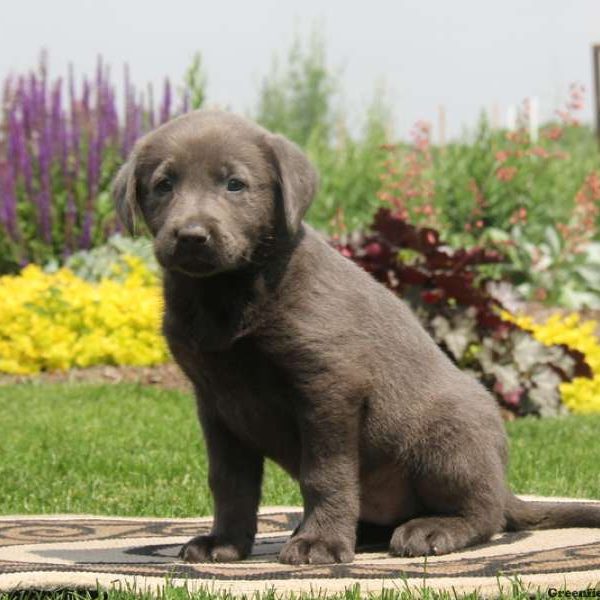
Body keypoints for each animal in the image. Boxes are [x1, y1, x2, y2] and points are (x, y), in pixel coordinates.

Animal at [113, 110, 600, 564]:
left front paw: (320, 542)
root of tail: (503, 481)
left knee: (485, 513)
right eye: (164, 184)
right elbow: (229, 482)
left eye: (235, 184)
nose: (191, 236)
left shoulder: (328, 386)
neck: (227, 294)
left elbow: (325, 473)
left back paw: (433, 530)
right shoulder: (216, 403)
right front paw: (224, 543)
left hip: (446, 435)